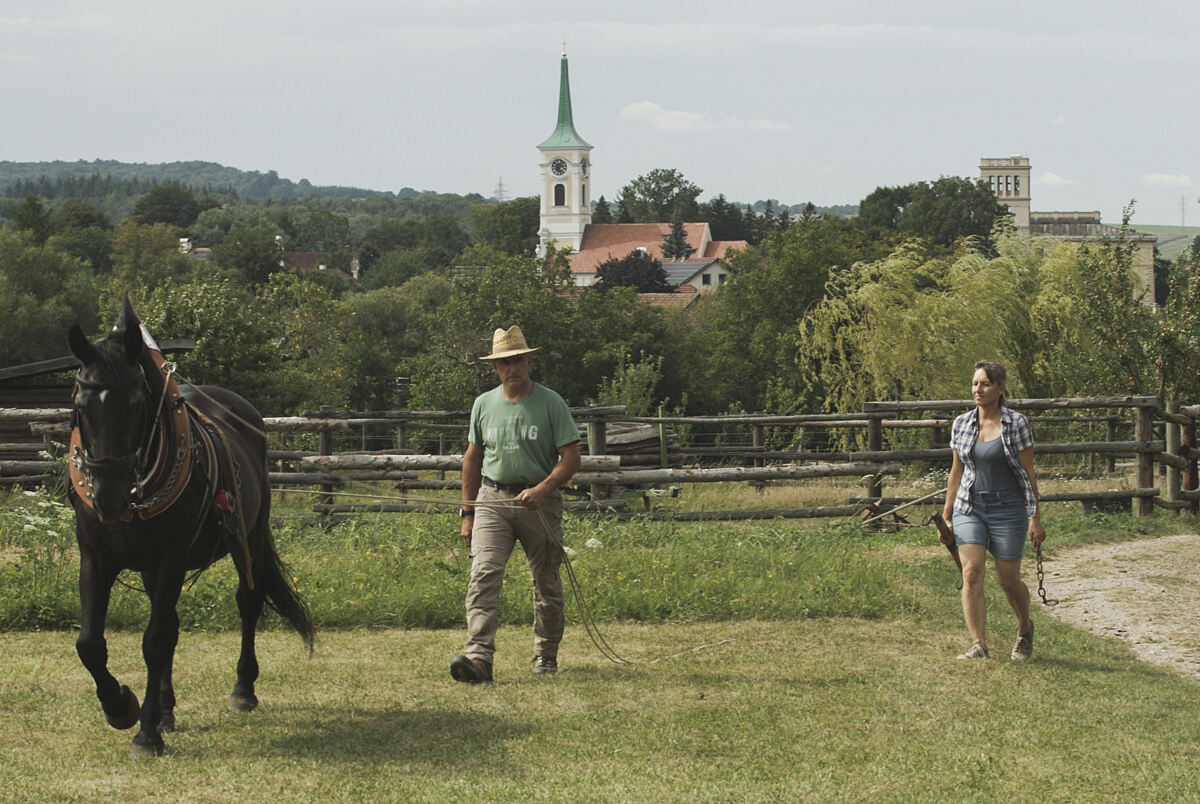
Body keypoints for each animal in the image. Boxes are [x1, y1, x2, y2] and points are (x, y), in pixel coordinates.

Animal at [66, 298, 314, 758]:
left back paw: (243, 689)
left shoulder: (171, 559)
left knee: (248, 601)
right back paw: (165, 707)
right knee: (173, 625)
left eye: (136, 403)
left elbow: (154, 641)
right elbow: (90, 643)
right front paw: (122, 707)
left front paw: (145, 732)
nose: (108, 497)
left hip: (249, 538)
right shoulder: (96, 557)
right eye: (81, 404)